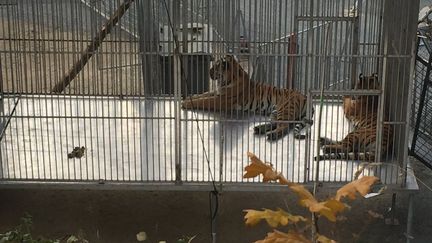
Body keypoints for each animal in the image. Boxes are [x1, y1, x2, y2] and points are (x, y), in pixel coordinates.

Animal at [181, 53, 312, 140]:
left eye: (216, 66)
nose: (209, 71)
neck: (226, 80)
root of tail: (305, 96)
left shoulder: (221, 100)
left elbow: (203, 100)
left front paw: (185, 103)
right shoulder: (218, 93)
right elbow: (203, 95)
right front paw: (190, 97)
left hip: (285, 108)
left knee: (284, 126)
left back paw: (272, 134)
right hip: (276, 110)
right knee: (276, 123)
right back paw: (259, 128)